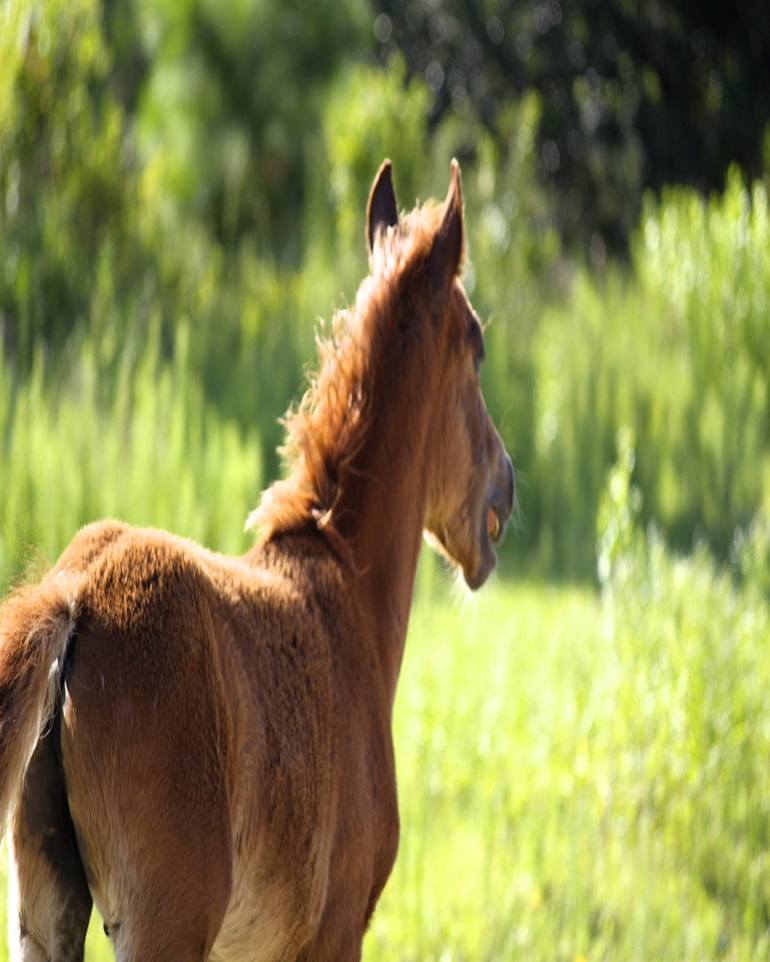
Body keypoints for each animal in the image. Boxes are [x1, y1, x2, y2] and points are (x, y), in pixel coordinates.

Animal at [1, 161, 516, 960]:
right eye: (477, 346)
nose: (505, 485)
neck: (345, 584)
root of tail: (75, 594)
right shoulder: (338, 931)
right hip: (163, 926)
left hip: (43, 910)